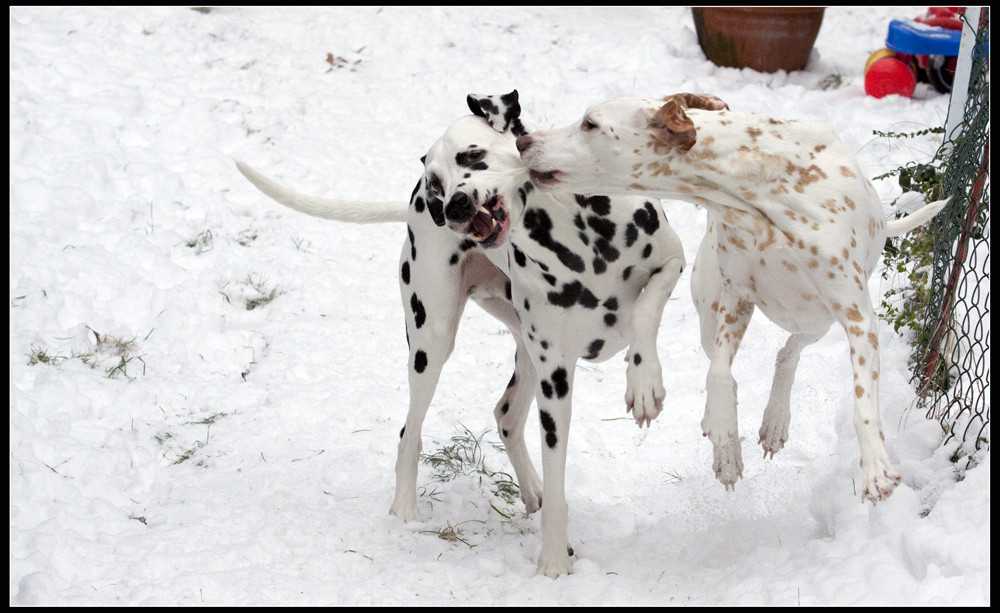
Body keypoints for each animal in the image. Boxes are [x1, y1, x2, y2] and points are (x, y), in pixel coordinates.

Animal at [236, 88, 688, 576]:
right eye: (437, 182)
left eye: (472, 155)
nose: (450, 208)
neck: (578, 236)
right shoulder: (555, 380)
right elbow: (557, 477)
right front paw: (553, 562)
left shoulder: (672, 260)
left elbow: (646, 309)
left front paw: (643, 381)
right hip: (431, 345)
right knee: (410, 432)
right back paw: (406, 508)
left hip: (523, 353)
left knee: (506, 415)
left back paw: (532, 490)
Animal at [520, 91, 948, 502]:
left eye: (590, 124)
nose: (523, 141)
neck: (762, 189)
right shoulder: (735, 300)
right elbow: (720, 375)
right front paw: (724, 436)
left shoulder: (857, 318)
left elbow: (863, 403)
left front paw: (876, 467)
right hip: (714, 315)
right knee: (741, 362)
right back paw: (734, 437)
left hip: (817, 321)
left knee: (789, 352)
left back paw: (775, 418)